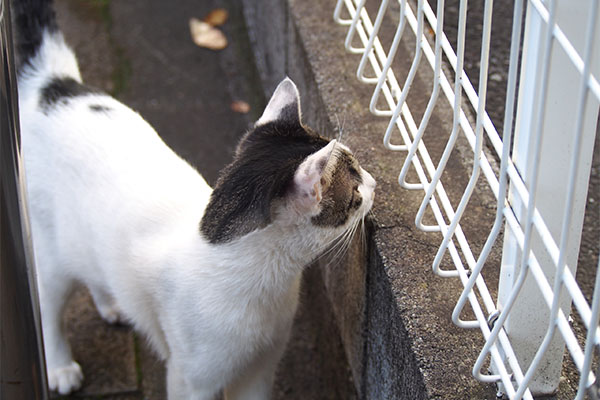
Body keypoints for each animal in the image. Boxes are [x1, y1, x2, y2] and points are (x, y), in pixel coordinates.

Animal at [12, 1, 376, 398]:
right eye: (355, 189)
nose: (375, 183)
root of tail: (51, 82)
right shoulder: (192, 378)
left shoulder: (260, 369)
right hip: (47, 253)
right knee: (48, 305)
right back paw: (59, 365)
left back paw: (112, 303)